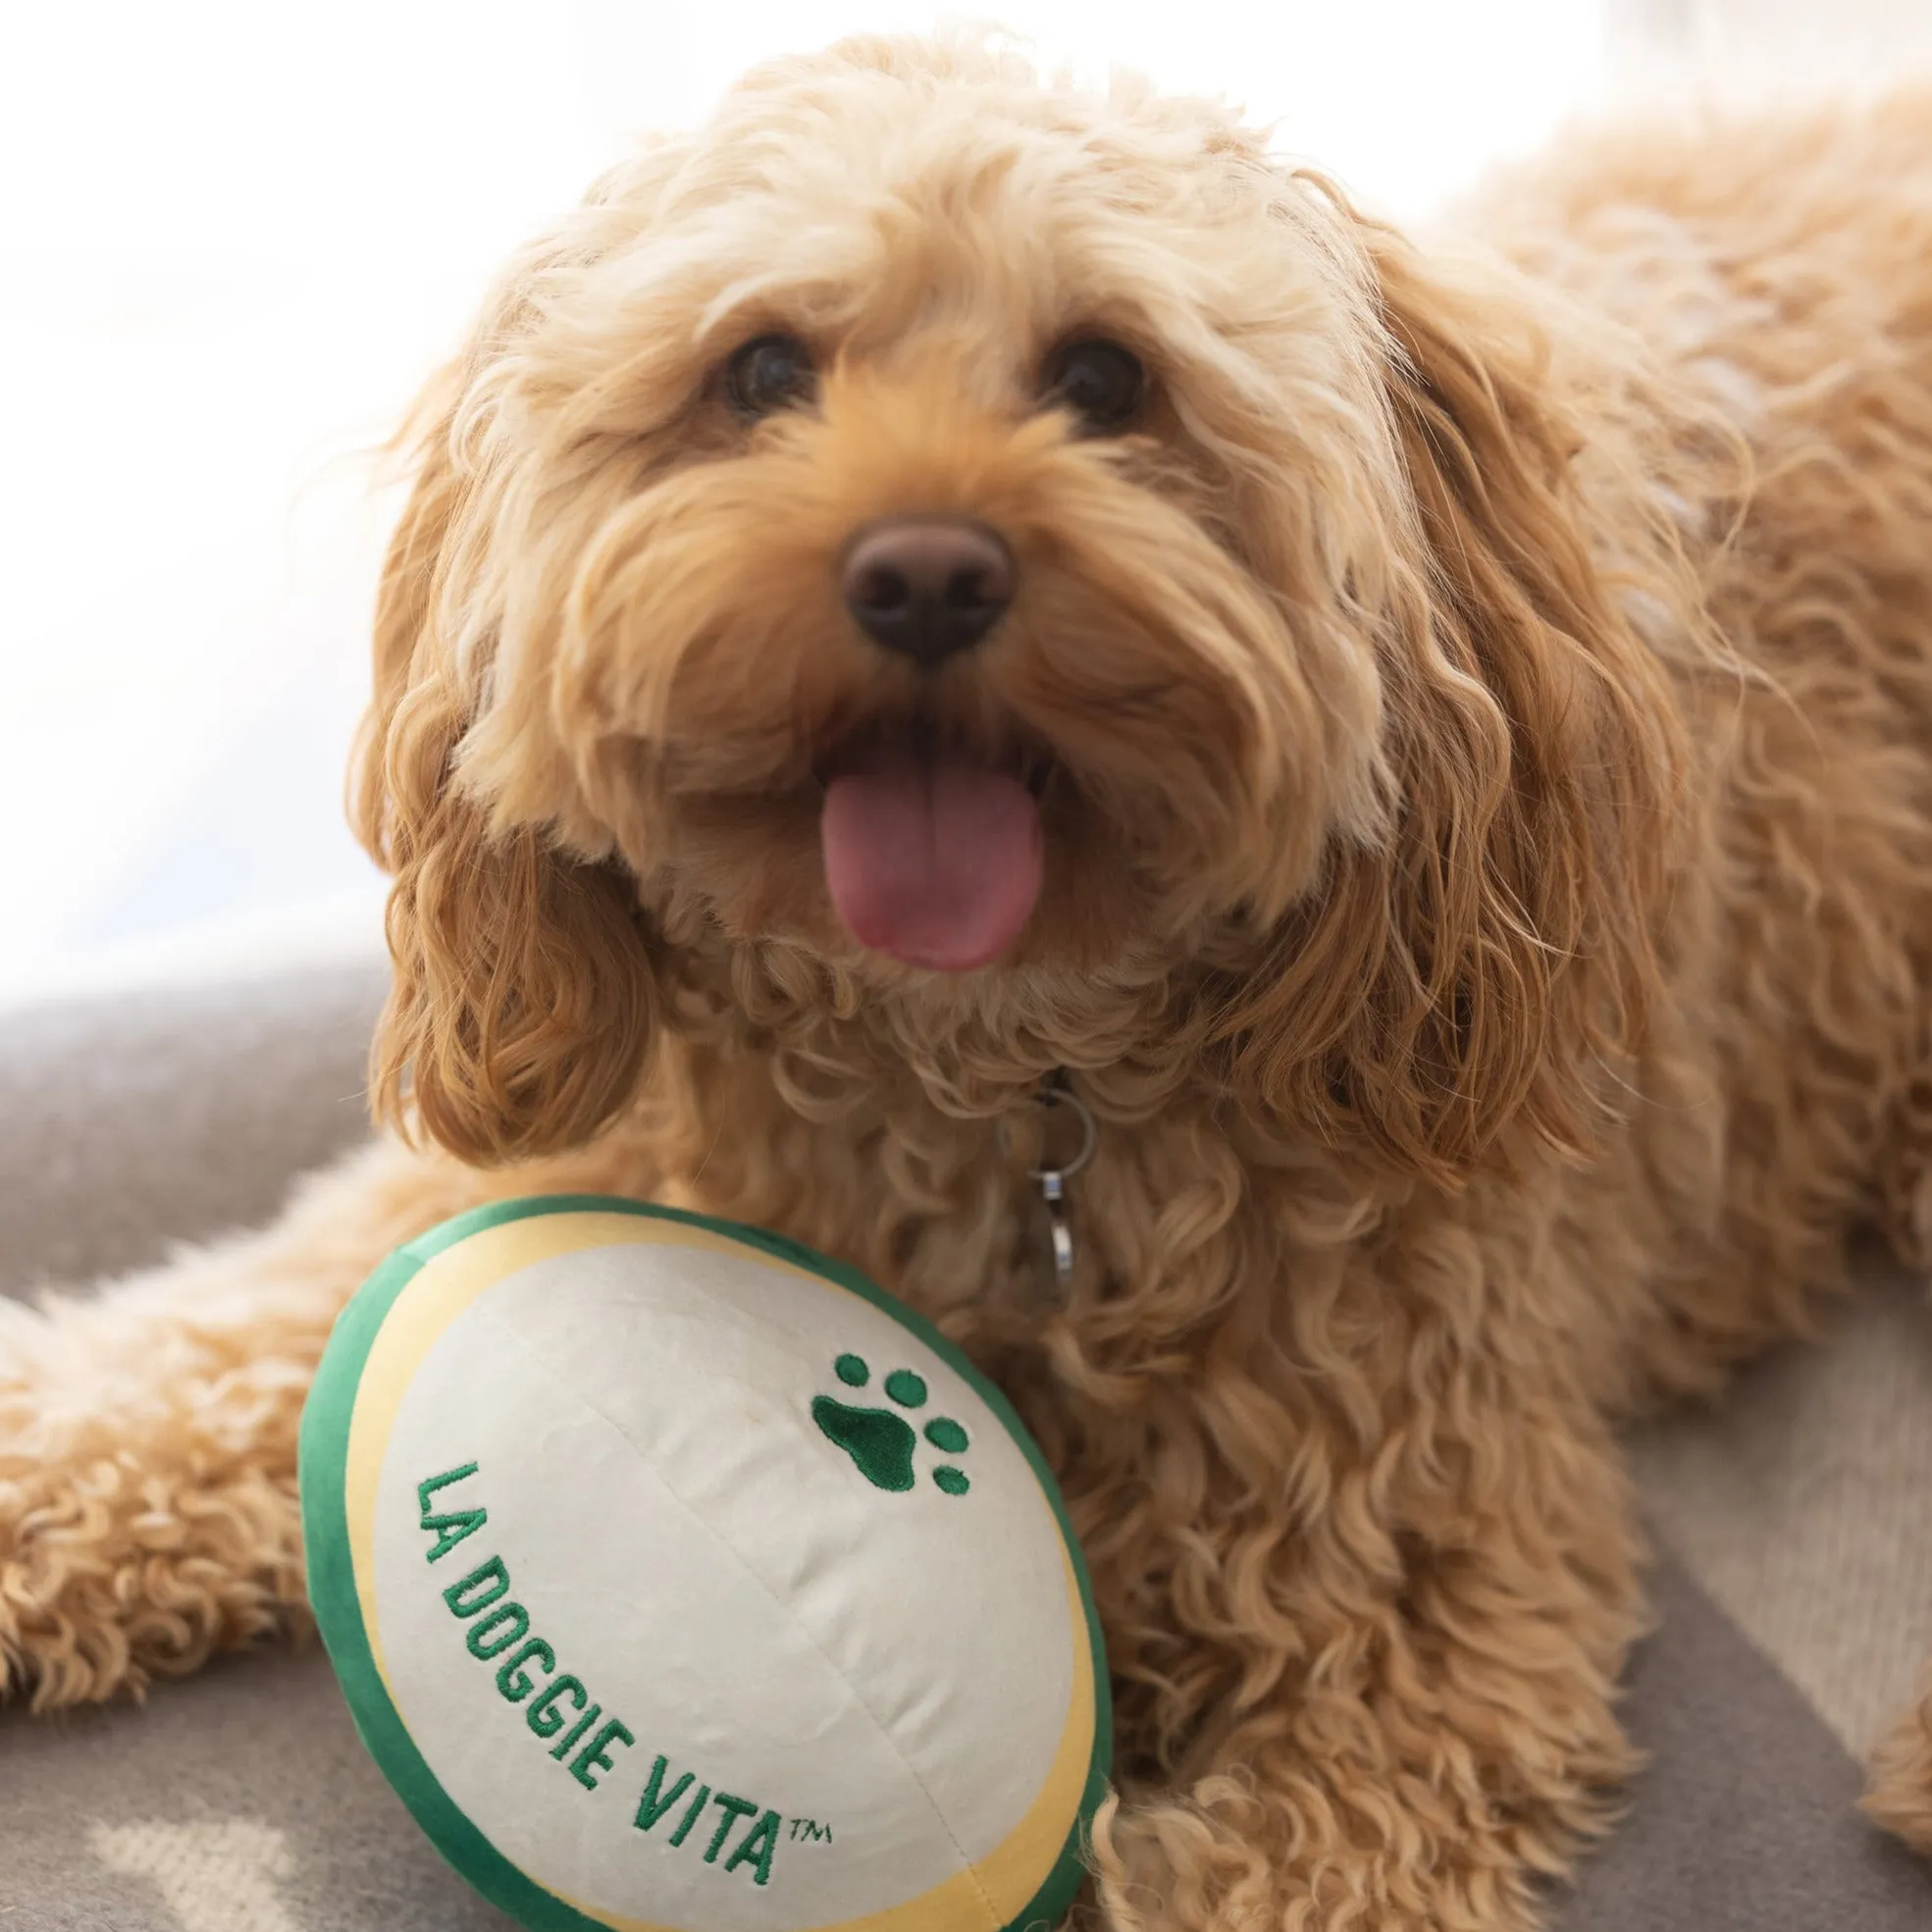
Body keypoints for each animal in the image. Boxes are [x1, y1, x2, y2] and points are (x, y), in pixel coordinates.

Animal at [3, 29, 1932, 1932]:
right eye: (760, 367)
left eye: (1103, 375)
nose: (924, 571)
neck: (987, 1089)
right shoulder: (549, 1169)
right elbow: (217, 1339)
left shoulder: (1427, 1631)